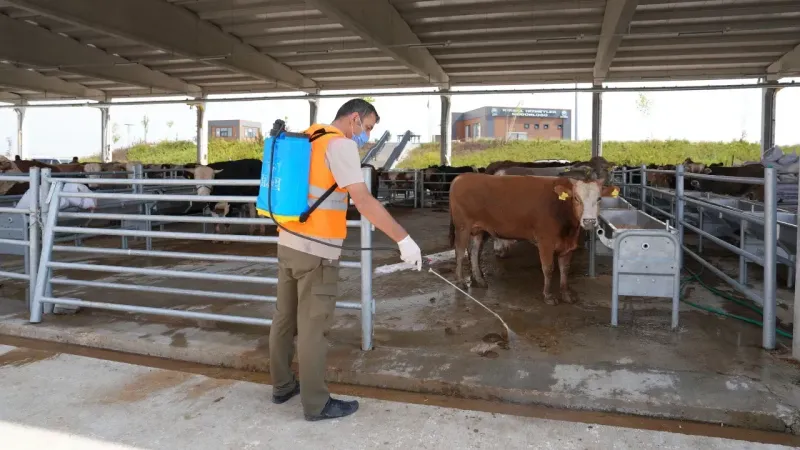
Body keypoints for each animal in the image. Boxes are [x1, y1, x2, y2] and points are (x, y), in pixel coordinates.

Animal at [446, 172, 608, 306]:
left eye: (599, 198)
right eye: (576, 198)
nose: (589, 221)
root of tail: (462, 177)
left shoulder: (568, 246)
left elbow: (564, 269)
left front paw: (566, 294)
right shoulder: (545, 242)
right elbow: (548, 269)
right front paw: (548, 296)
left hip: (479, 230)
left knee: (473, 252)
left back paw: (479, 280)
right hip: (462, 227)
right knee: (459, 252)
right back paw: (460, 281)